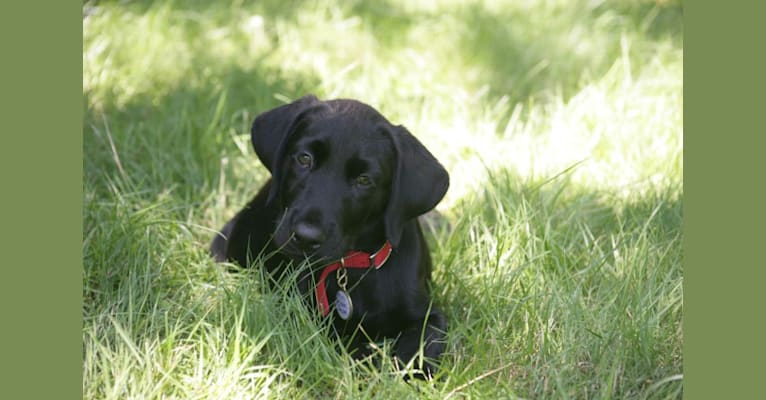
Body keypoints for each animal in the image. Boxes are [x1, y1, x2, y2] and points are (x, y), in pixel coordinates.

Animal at [210, 95, 450, 376]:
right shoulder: (301, 313)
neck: (351, 267)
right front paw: (369, 360)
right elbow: (346, 341)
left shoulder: (429, 315)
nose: (305, 237)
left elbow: (420, 347)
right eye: (304, 158)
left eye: (364, 180)